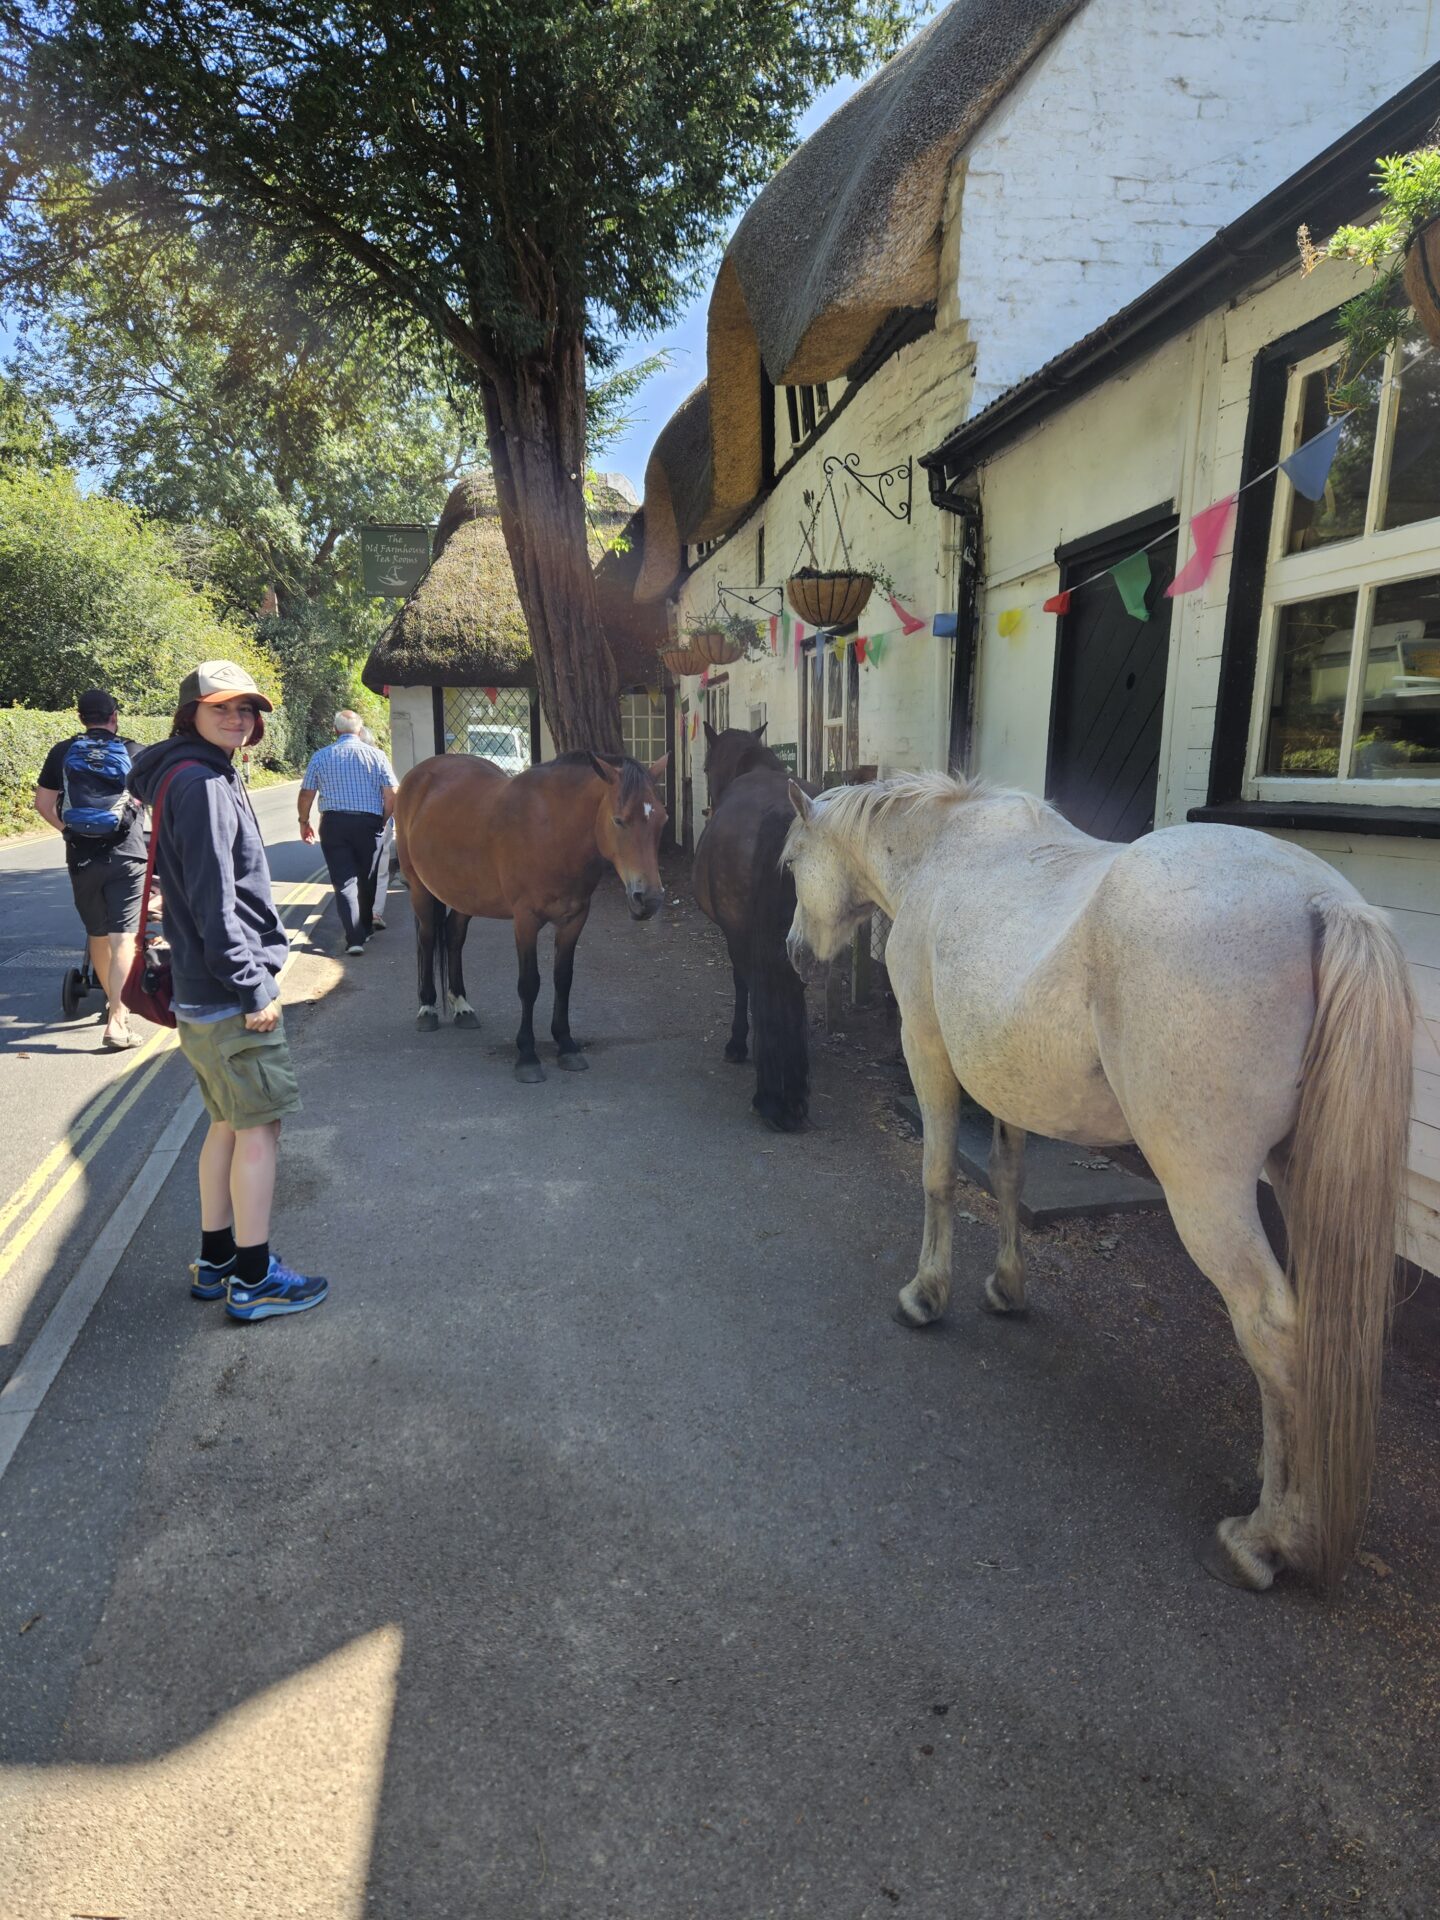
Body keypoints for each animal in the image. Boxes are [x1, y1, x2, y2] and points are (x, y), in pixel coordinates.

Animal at [391, 748, 668, 1082]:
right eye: (619, 820)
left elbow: (563, 980)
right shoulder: (526, 921)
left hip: (464, 896)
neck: (553, 829)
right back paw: (427, 1009)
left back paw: (462, 1006)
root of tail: (418, 775)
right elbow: (529, 984)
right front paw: (527, 1055)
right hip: (420, 889)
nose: (648, 899)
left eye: (663, 819)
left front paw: (566, 1045)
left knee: (454, 938)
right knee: (428, 938)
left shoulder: (574, 920)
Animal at [695, 725, 814, 1128]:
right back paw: (794, 1087)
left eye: (704, 767)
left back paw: (772, 1096)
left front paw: (736, 1043)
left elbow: (741, 982)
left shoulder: (734, 935)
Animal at [783, 768, 1413, 1589]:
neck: (942, 854)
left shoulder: (928, 1051)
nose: (796, 953)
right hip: (1301, 1180)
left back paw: (1266, 1537)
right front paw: (1007, 1289)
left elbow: (939, 1175)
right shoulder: (1005, 1085)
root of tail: (1322, 904)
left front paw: (926, 1295)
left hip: (1205, 1190)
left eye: (790, 863)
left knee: (1274, 1329)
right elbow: (1009, 1177)